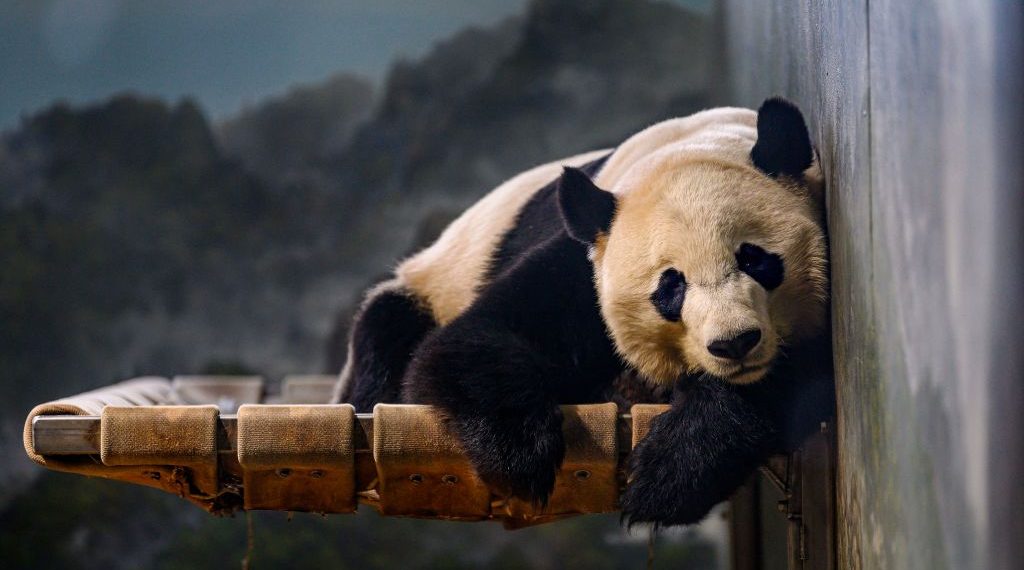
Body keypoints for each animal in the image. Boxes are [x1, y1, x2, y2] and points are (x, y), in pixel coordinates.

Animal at [331, 98, 834, 526]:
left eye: (754, 259)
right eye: (671, 286)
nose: (733, 344)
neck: (690, 145)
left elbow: (804, 374)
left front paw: (671, 471)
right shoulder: (586, 265)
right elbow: (472, 340)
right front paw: (522, 453)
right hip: (427, 286)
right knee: (386, 335)